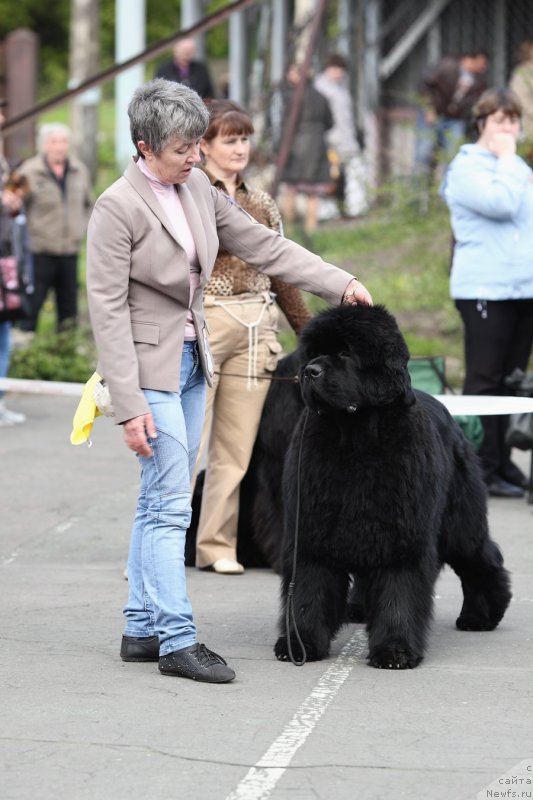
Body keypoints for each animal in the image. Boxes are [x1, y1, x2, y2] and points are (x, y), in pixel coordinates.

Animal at [274, 304, 512, 668]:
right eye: (313, 354)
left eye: (346, 353)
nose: (311, 371)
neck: (355, 439)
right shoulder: (314, 531)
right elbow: (308, 591)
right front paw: (301, 644)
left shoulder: (403, 533)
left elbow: (399, 593)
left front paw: (395, 649)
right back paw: (358, 609)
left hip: (458, 523)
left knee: (481, 556)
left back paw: (481, 615)